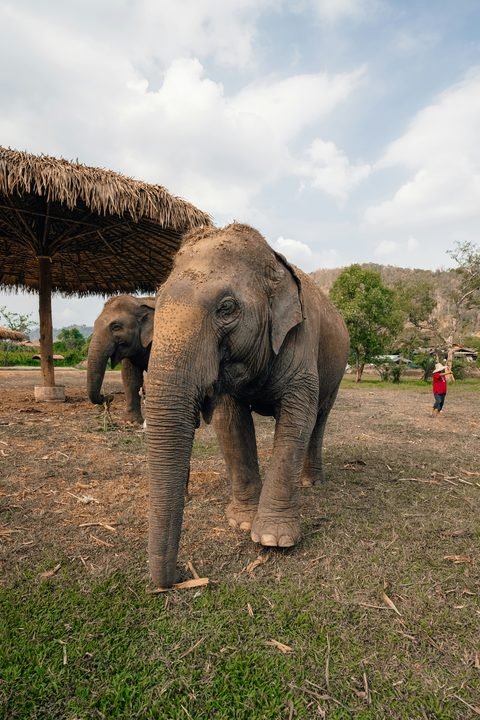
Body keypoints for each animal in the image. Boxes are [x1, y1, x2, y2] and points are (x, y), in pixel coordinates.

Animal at [146, 223, 350, 587]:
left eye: (226, 308)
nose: (178, 578)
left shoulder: (303, 338)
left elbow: (297, 418)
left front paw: (273, 539)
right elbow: (231, 423)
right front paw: (241, 522)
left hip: (338, 369)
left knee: (319, 420)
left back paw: (311, 483)